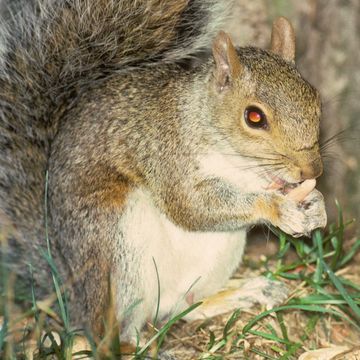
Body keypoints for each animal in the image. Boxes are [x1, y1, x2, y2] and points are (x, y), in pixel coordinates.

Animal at [0, 0, 326, 344]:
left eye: (315, 98)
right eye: (254, 117)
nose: (312, 169)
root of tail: (75, 295)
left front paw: (315, 206)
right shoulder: (166, 152)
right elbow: (188, 205)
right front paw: (278, 208)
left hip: (219, 253)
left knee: (183, 306)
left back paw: (245, 292)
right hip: (119, 248)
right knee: (112, 328)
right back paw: (135, 343)